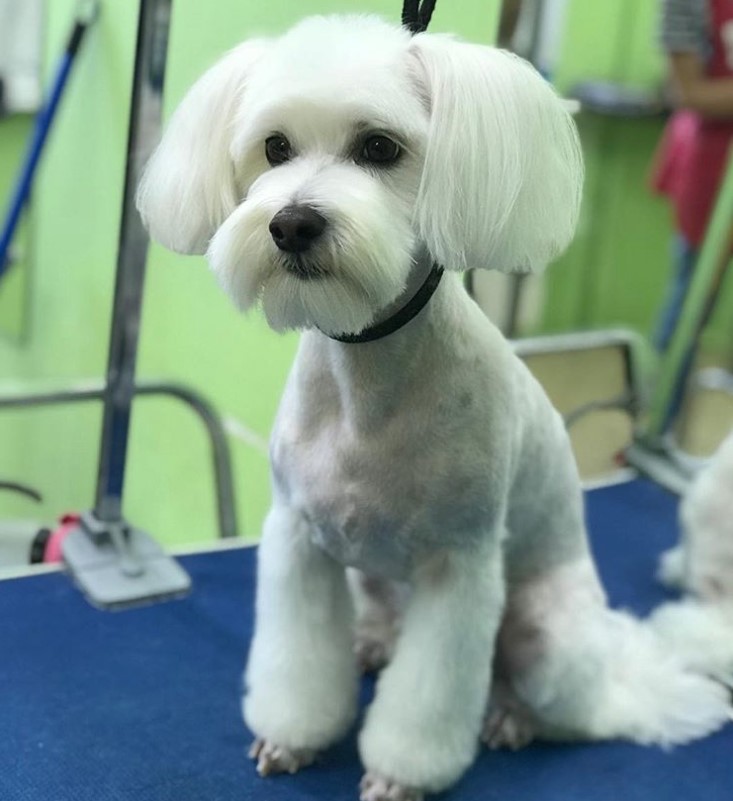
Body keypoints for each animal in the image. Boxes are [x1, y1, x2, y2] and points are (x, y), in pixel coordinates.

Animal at [137, 14, 732, 800]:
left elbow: (430, 695)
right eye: (274, 147)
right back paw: (370, 642)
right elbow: (298, 663)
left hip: (543, 626)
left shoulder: (460, 570)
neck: (366, 385)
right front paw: (293, 734)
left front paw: (401, 772)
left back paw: (512, 716)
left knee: (567, 710)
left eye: (379, 148)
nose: (291, 224)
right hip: (367, 577)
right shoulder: (300, 542)